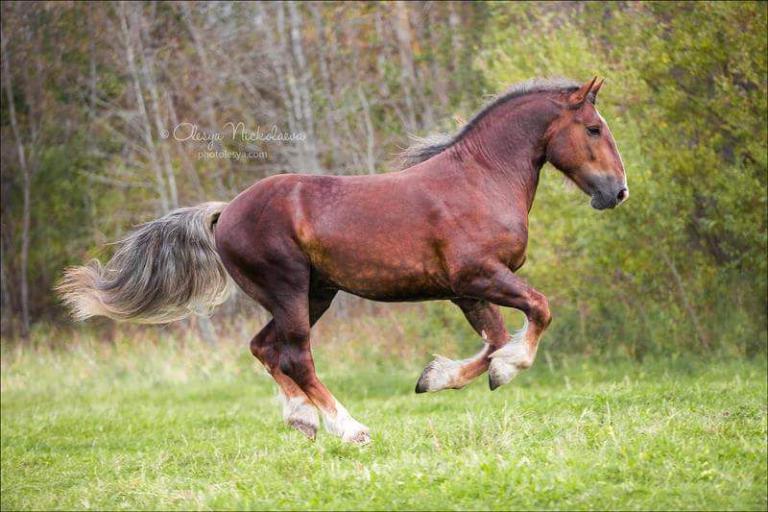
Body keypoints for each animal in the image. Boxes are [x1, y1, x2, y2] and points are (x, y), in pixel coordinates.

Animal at [58, 77, 628, 445]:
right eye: (594, 129)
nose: (617, 192)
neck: (480, 179)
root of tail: (226, 211)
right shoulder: (479, 275)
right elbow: (536, 312)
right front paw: (506, 370)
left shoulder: (465, 289)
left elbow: (493, 340)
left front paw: (434, 377)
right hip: (289, 289)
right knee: (295, 356)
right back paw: (349, 429)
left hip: (315, 293)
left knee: (264, 348)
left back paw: (302, 421)